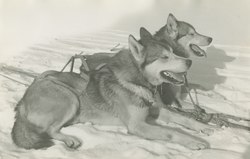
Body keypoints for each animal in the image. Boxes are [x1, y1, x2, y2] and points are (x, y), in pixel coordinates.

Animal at [10, 29, 209, 150]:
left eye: (173, 52)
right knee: (49, 131)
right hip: (70, 97)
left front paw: (202, 127)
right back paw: (69, 139)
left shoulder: (156, 111)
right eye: (164, 57)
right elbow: (171, 132)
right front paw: (193, 141)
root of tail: (22, 102)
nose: (189, 62)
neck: (138, 83)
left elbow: (184, 119)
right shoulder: (137, 126)